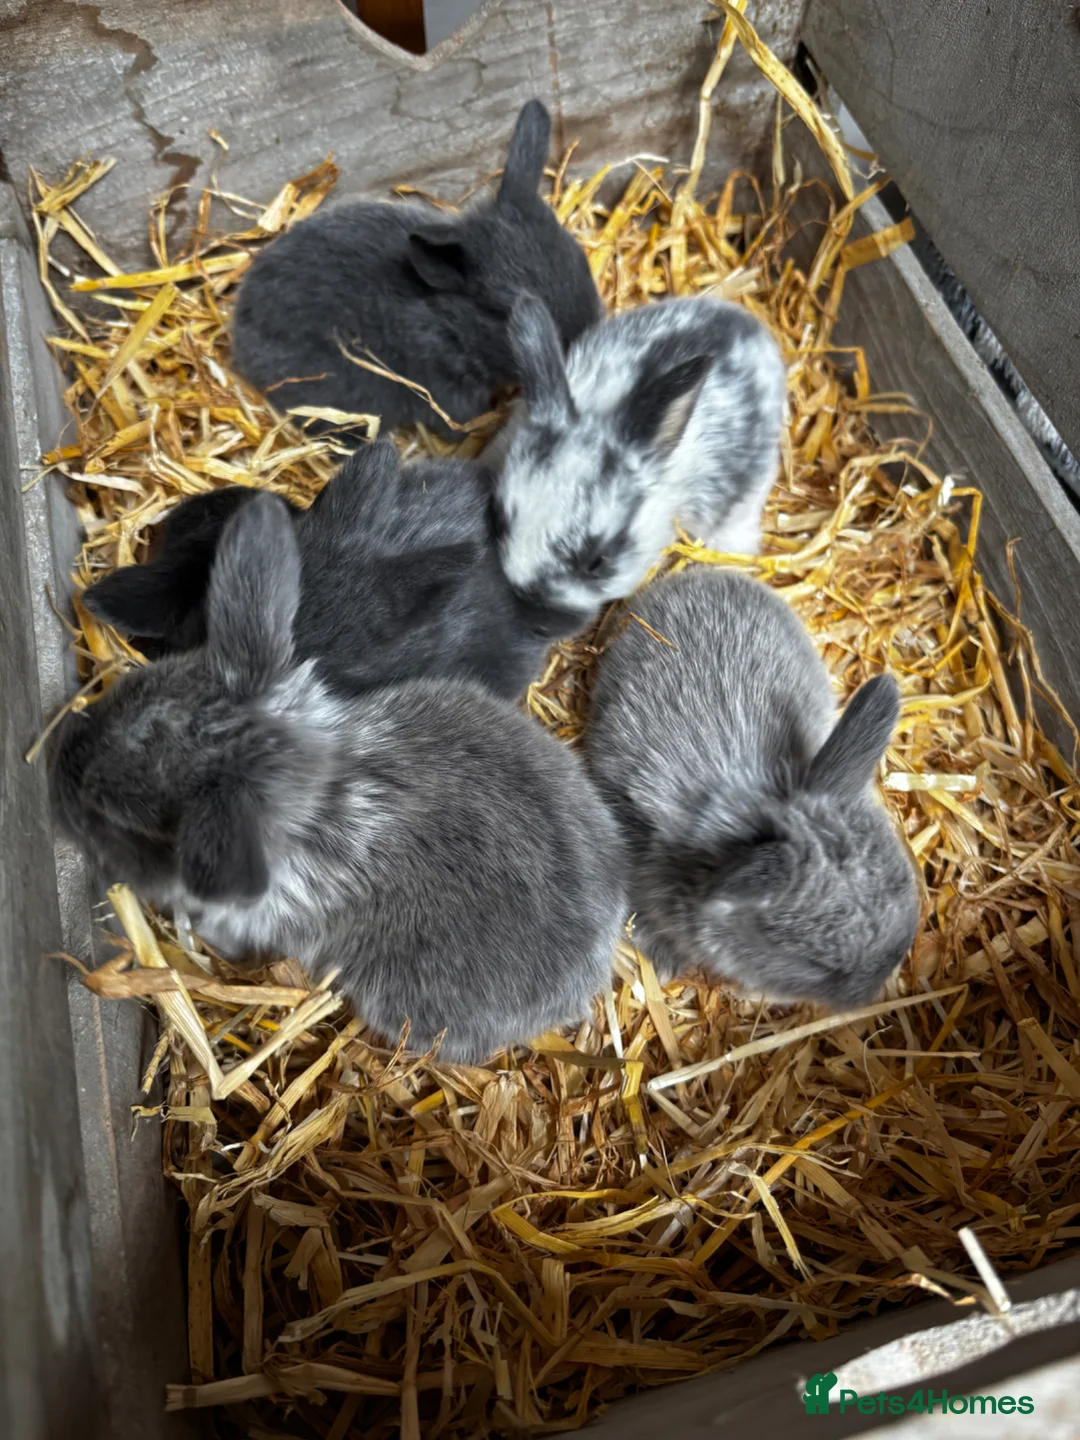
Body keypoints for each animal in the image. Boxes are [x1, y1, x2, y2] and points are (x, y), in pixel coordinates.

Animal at [230, 100, 602, 436]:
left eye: (580, 260)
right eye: (500, 311)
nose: (586, 338)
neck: (442, 321)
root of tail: (240, 329)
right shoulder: (449, 395)